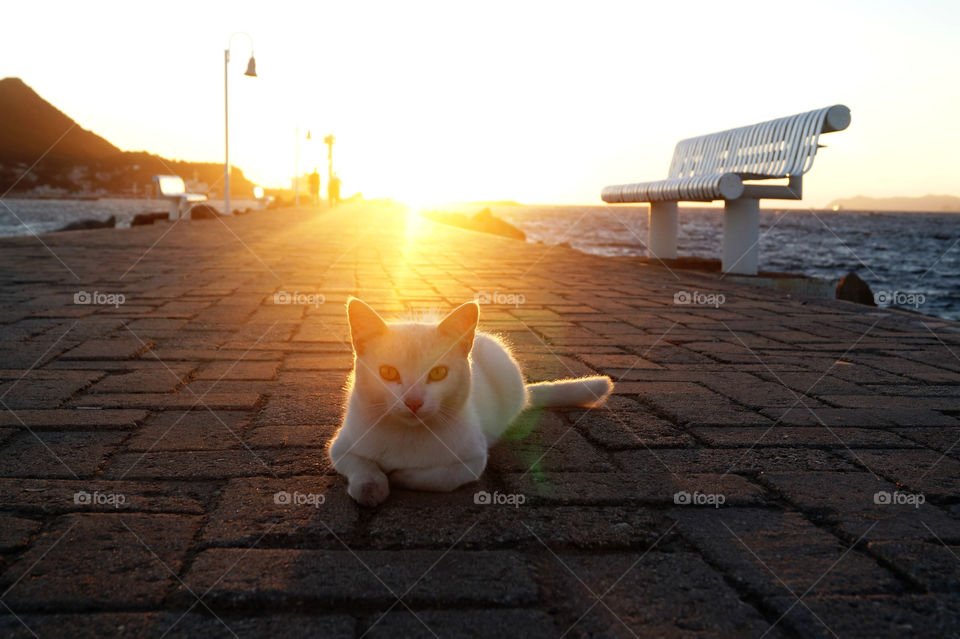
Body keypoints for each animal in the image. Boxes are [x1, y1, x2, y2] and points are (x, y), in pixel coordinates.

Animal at [330, 298, 616, 508]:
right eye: (388, 372)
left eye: (438, 373)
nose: (413, 401)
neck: (407, 436)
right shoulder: (340, 447)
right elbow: (363, 470)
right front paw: (373, 487)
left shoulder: (472, 461)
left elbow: (434, 476)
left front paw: (397, 476)